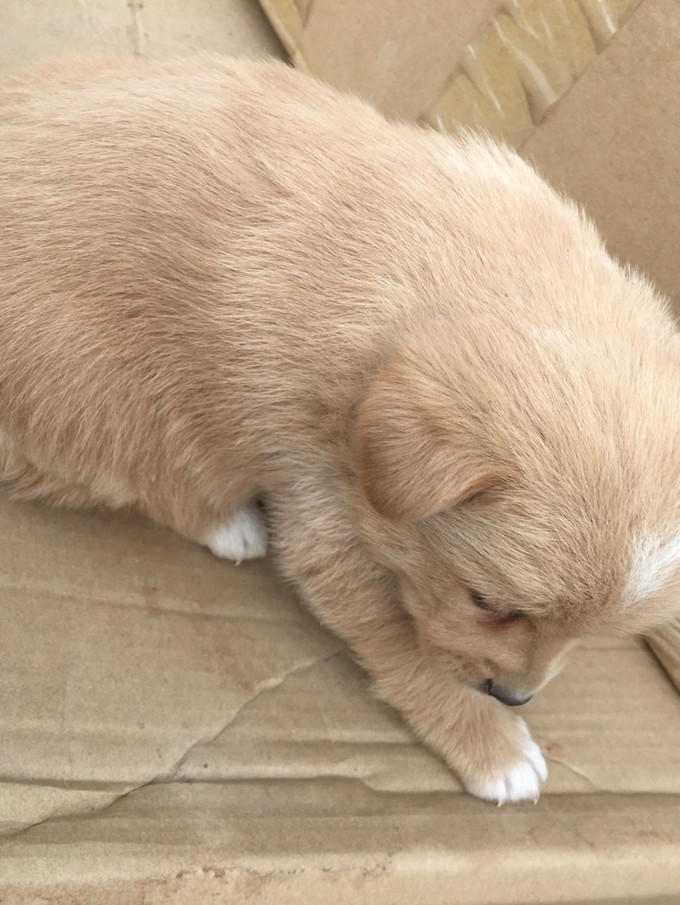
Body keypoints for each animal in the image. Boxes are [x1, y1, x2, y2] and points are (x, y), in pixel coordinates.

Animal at [1, 54, 680, 804]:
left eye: (594, 633)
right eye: (486, 600)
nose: (514, 697)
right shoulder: (324, 518)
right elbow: (405, 648)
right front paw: (492, 745)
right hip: (108, 392)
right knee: (152, 475)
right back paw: (230, 524)